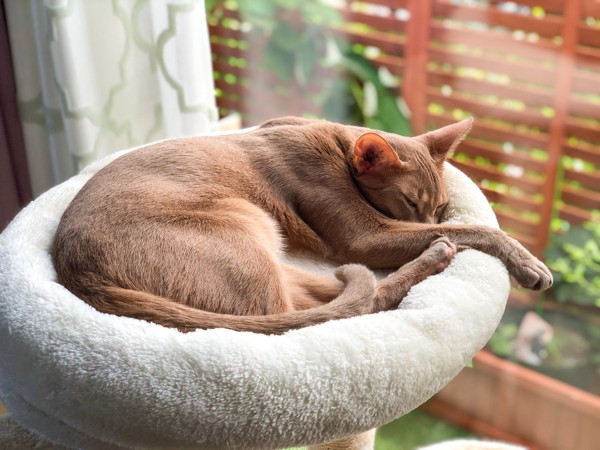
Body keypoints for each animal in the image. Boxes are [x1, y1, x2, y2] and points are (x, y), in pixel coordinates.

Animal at [51, 118, 552, 336]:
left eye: (443, 204)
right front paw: (530, 263)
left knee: (335, 298)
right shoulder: (364, 236)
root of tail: (75, 269)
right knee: (325, 313)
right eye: (410, 202)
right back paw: (437, 254)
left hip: (268, 248)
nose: (432, 222)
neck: (335, 143)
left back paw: (434, 256)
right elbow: (480, 231)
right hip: (246, 236)